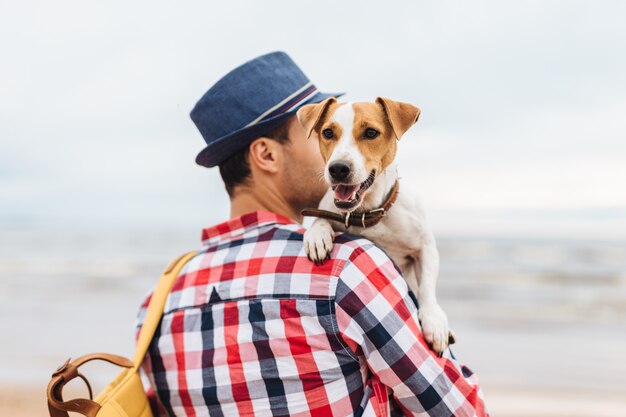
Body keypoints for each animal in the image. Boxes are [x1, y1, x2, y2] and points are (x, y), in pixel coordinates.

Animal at [294, 97, 450, 354]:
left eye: (370, 133)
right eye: (327, 132)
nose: (338, 168)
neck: (368, 214)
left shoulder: (426, 247)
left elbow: (427, 285)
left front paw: (433, 322)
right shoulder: (327, 207)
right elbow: (320, 217)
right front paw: (318, 235)